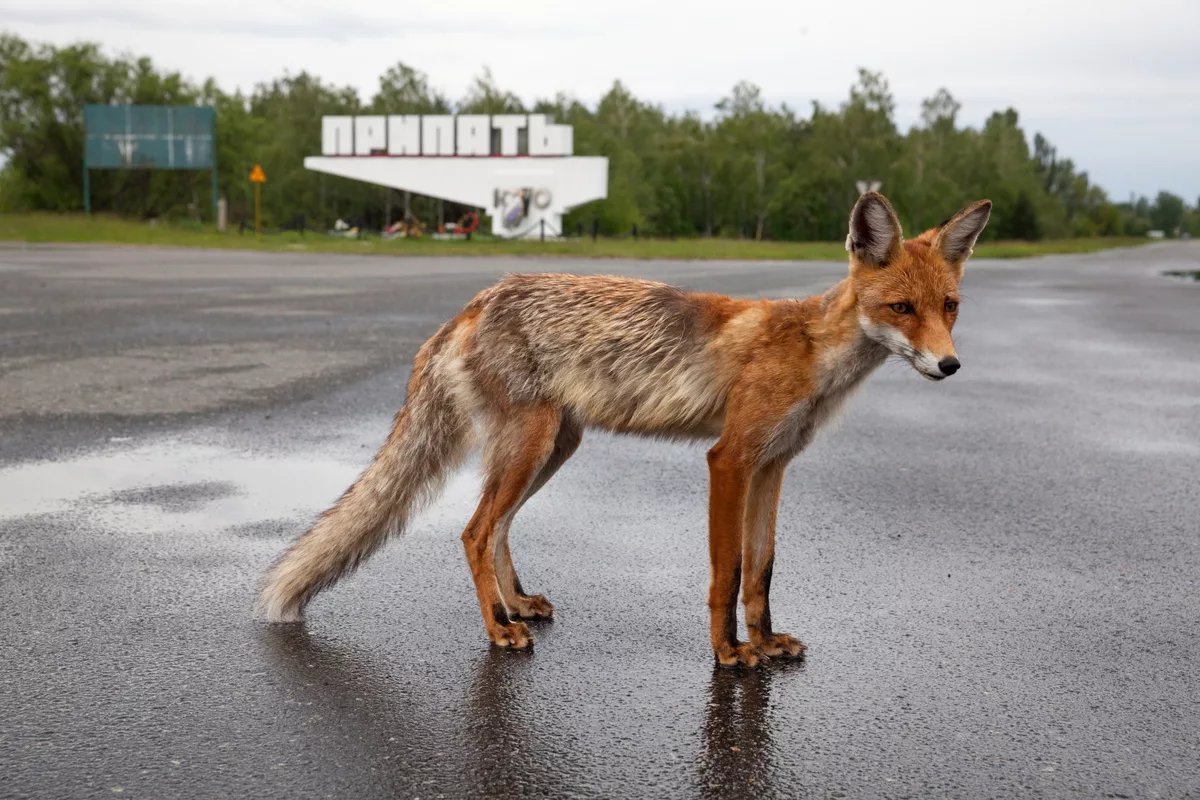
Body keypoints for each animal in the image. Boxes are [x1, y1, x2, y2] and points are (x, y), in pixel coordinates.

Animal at [260, 190, 993, 666]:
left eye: (950, 306)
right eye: (901, 308)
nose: (950, 364)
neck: (812, 355)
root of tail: (478, 299)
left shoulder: (773, 465)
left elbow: (761, 570)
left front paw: (765, 640)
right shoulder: (730, 459)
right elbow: (726, 573)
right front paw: (729, 652)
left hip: (554, 447)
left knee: (498, 528)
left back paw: (515, 606)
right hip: (530, 445)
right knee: (473, 531)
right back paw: (499, 630)